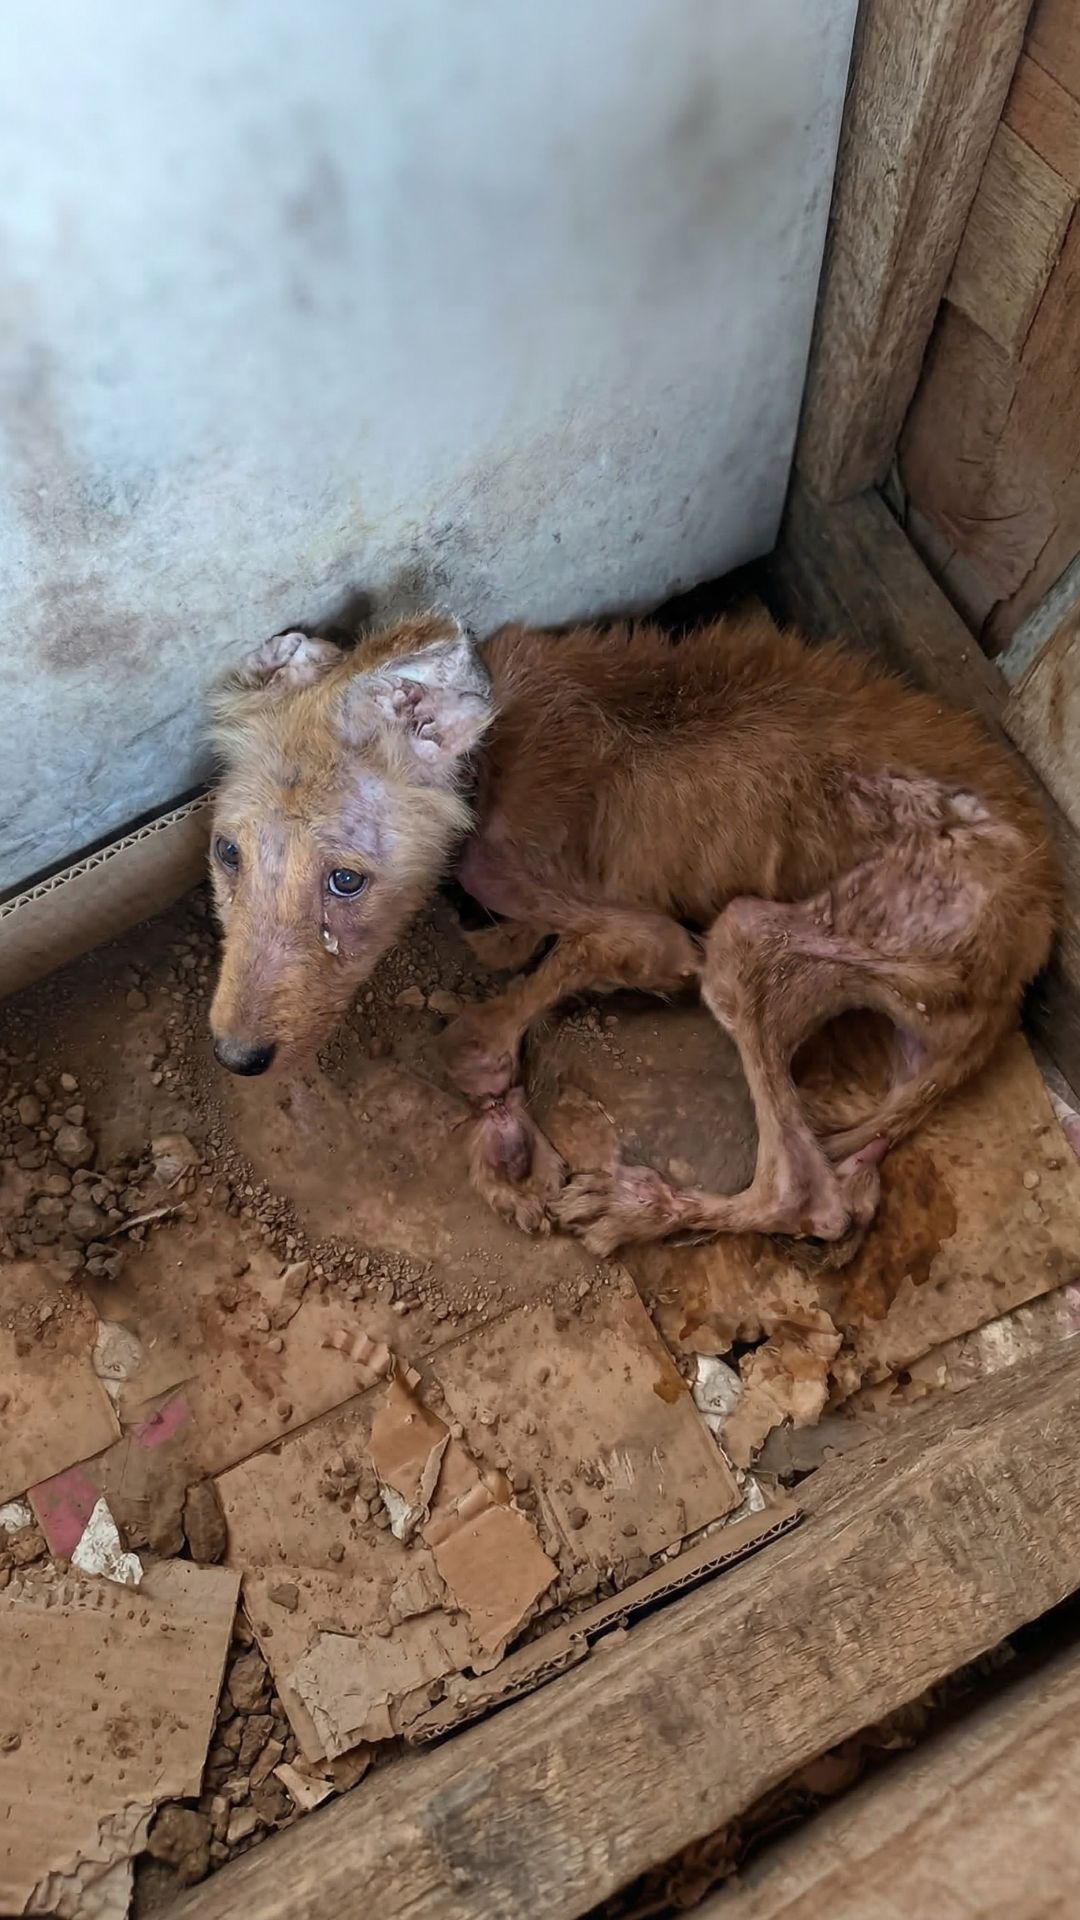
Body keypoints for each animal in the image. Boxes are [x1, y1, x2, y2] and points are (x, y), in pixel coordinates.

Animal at [208, 608, 1058, 1256]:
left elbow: (549, 980)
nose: (236, 1058)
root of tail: (1031, 936)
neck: (488, 758)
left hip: (752, 936)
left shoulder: (639, 930)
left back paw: (633, 1210)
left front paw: (496, 1087)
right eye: (225, 853)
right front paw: (504, 960)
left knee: (805, 1196)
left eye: (346, 880)